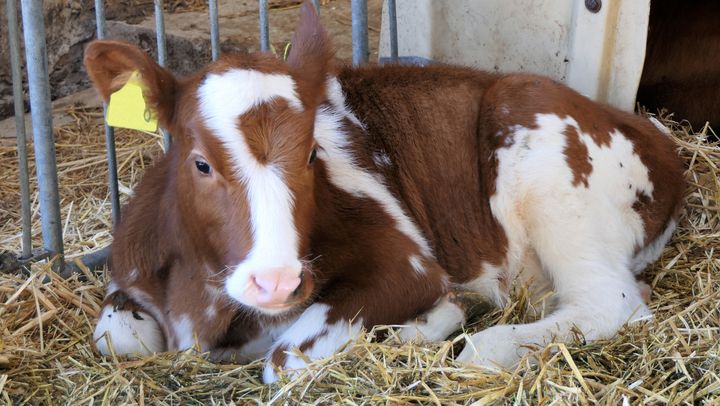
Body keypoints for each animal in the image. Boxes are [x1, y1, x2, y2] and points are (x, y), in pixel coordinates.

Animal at [87, 1, 684, 382]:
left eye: (312, 154)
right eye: (201, 163)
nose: (277, 281)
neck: (202, 305)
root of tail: (659, 137)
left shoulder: (408, 263)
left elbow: (285, 358)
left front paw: (425, 321)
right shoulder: (128, 273)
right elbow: (115, 335)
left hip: (551, 170)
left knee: (613, 300)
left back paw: (479, 342)